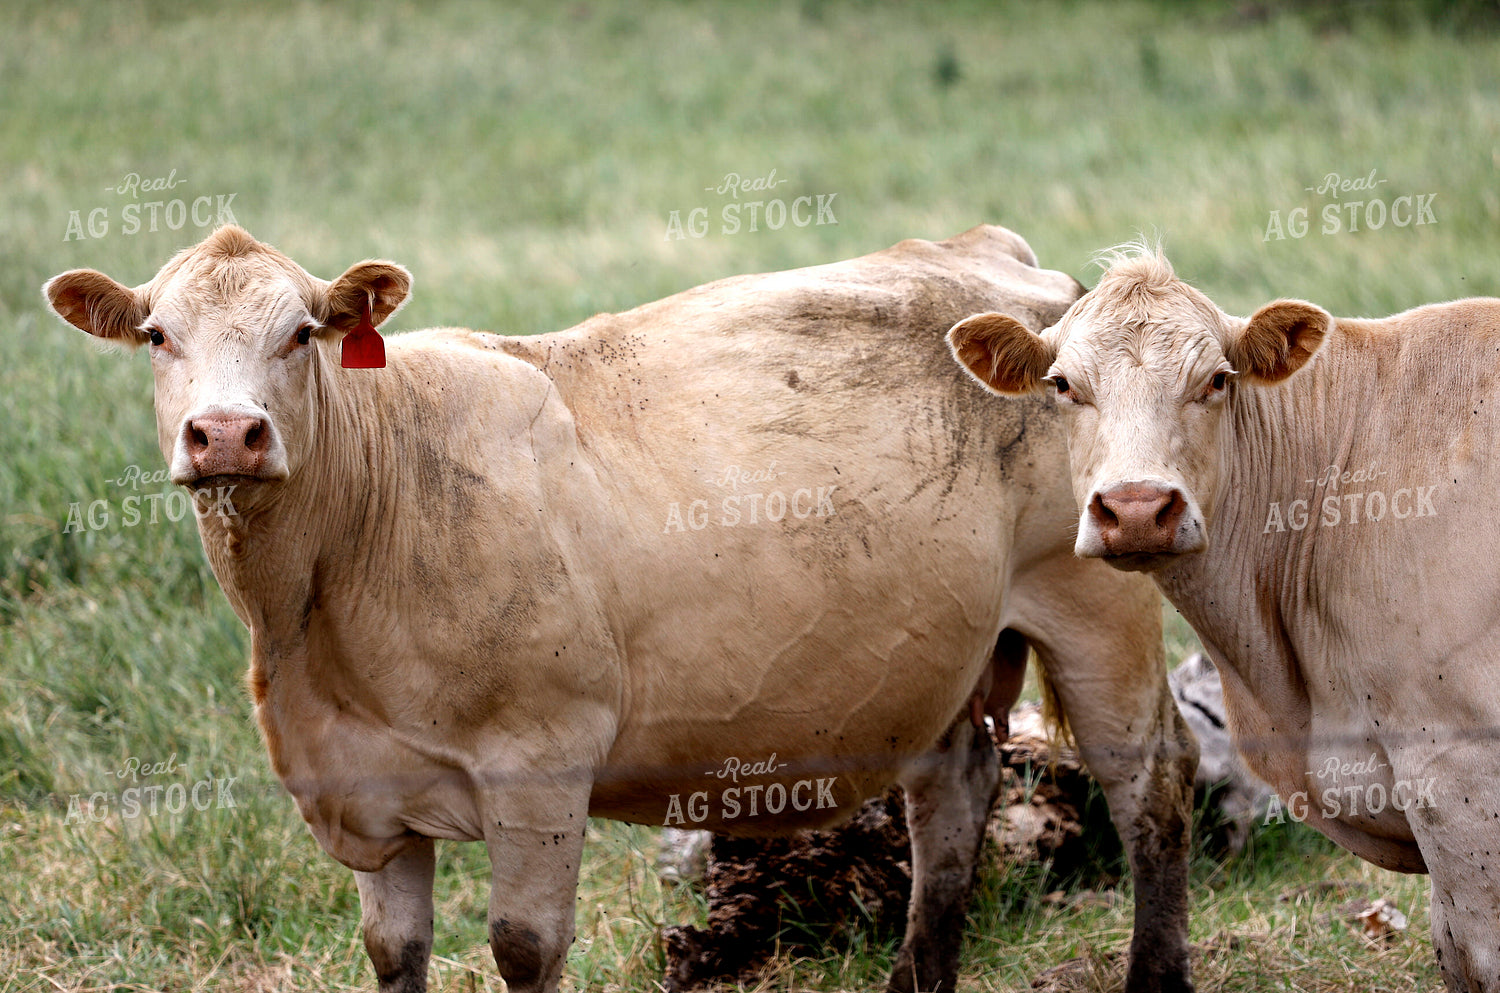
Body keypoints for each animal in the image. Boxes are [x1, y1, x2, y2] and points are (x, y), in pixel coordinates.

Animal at [45, 225, 1196, 993]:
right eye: (158, 334)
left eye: (299, 334)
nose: (225, 434)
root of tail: (1011, 265)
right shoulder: (367, 788)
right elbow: (392, 951)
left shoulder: (540, 761)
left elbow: (523, 948)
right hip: (948, 657)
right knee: (953, 792)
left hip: (1097, 602)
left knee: (1153, 788)